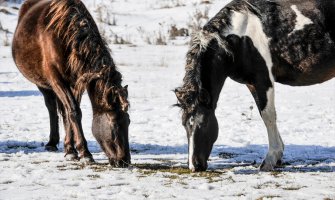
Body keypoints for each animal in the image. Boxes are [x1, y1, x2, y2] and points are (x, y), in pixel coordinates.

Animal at [11, 0, 131, 166]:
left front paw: (71, 150)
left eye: (128, 122)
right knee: (51, 108)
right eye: (113, 122)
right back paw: (52, 143)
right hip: (43, 85)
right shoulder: (57, 80)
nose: (125, 161)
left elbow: (70, 113)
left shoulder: (77, 82)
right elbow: (74, 112)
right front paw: (85, 153)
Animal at [176, 0, 335, 172]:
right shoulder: (251, 83)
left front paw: (270, 159)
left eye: (204, 123)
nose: (195, 165)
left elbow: (268, 116)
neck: (239, 41)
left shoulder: (263, 80)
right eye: (184, 125)